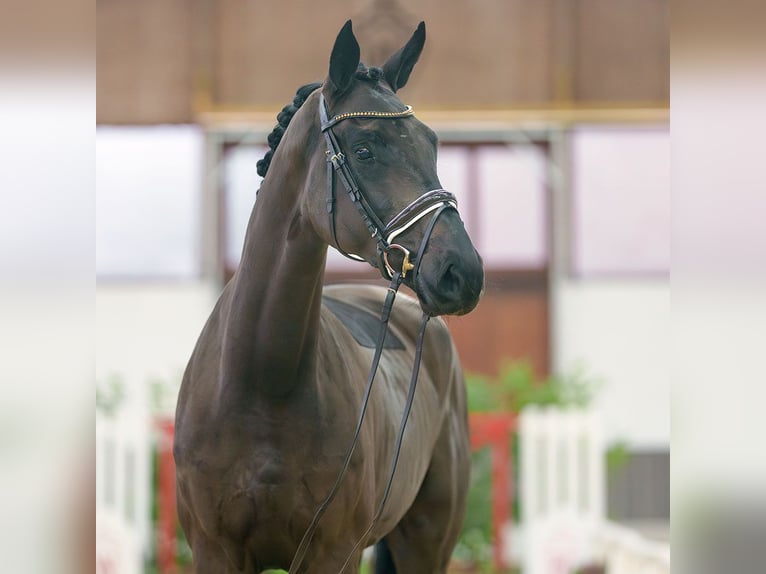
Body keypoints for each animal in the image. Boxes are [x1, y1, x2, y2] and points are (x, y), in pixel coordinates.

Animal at [177, 20, 484, 572]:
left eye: (431, 145)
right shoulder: (214, 550)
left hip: (427, 538)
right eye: (364, 149)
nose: (462, 272)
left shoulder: (332, 552)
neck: (263, 380)